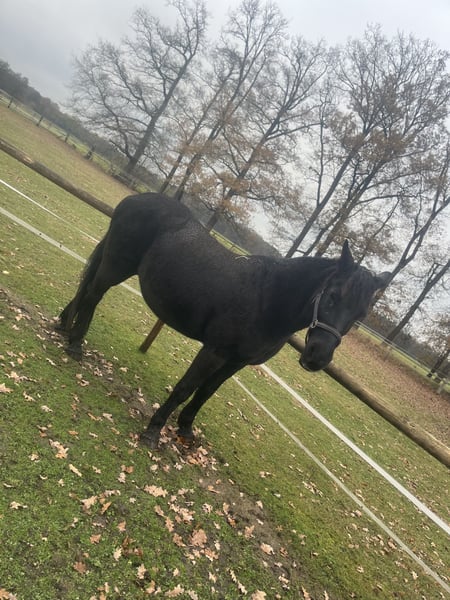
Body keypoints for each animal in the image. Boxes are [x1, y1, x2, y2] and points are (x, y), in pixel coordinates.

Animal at [57, 192, 390, 448]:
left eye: (360, 315)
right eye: (332, 296)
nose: (317, 357)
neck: (267, 300)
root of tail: (134, 199)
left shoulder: (236, 361)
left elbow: (205, 393)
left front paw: (186, 429)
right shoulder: (214, 351)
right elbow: (185, 388)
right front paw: (154, 431)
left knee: (85, 289)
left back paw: (63, 327)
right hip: (117, 265)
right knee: (92, 296)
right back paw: (76, 345)